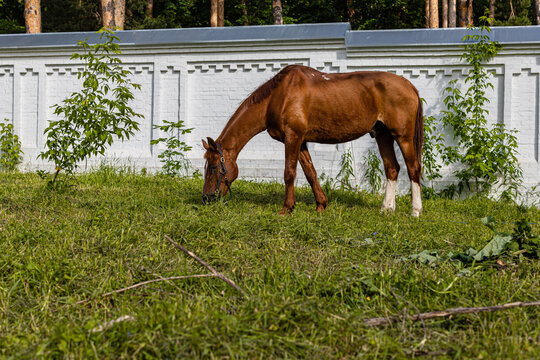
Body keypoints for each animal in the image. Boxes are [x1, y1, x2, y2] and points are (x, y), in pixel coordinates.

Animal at [200, 64, 424, 217]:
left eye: (213, 167)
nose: (206, 198)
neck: (278, 96)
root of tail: (410, 85)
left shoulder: (293, 137)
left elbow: (289, 173)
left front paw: (286, 208)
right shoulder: (300, 142)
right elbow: (310, 173)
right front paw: (321, 205)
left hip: (403, 137)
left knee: (413, 168)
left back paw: (415, 211)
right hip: (383, 135)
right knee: (392, 168)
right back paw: (386, 209)